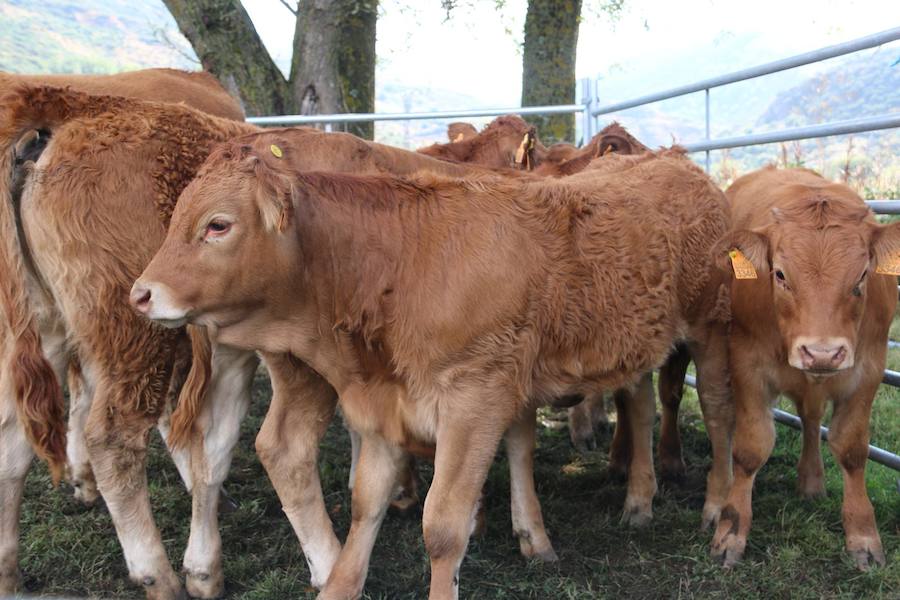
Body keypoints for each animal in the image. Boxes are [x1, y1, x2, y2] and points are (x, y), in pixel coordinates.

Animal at [712, 166, 892, 568]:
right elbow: (750, 448)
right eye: (780, 275)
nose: (822, 353)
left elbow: (852, 450)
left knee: (810, 421)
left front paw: (863, 536)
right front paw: (731, 530)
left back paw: (811, 480)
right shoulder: (746, 365)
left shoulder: (868, 370)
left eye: (861, 276)